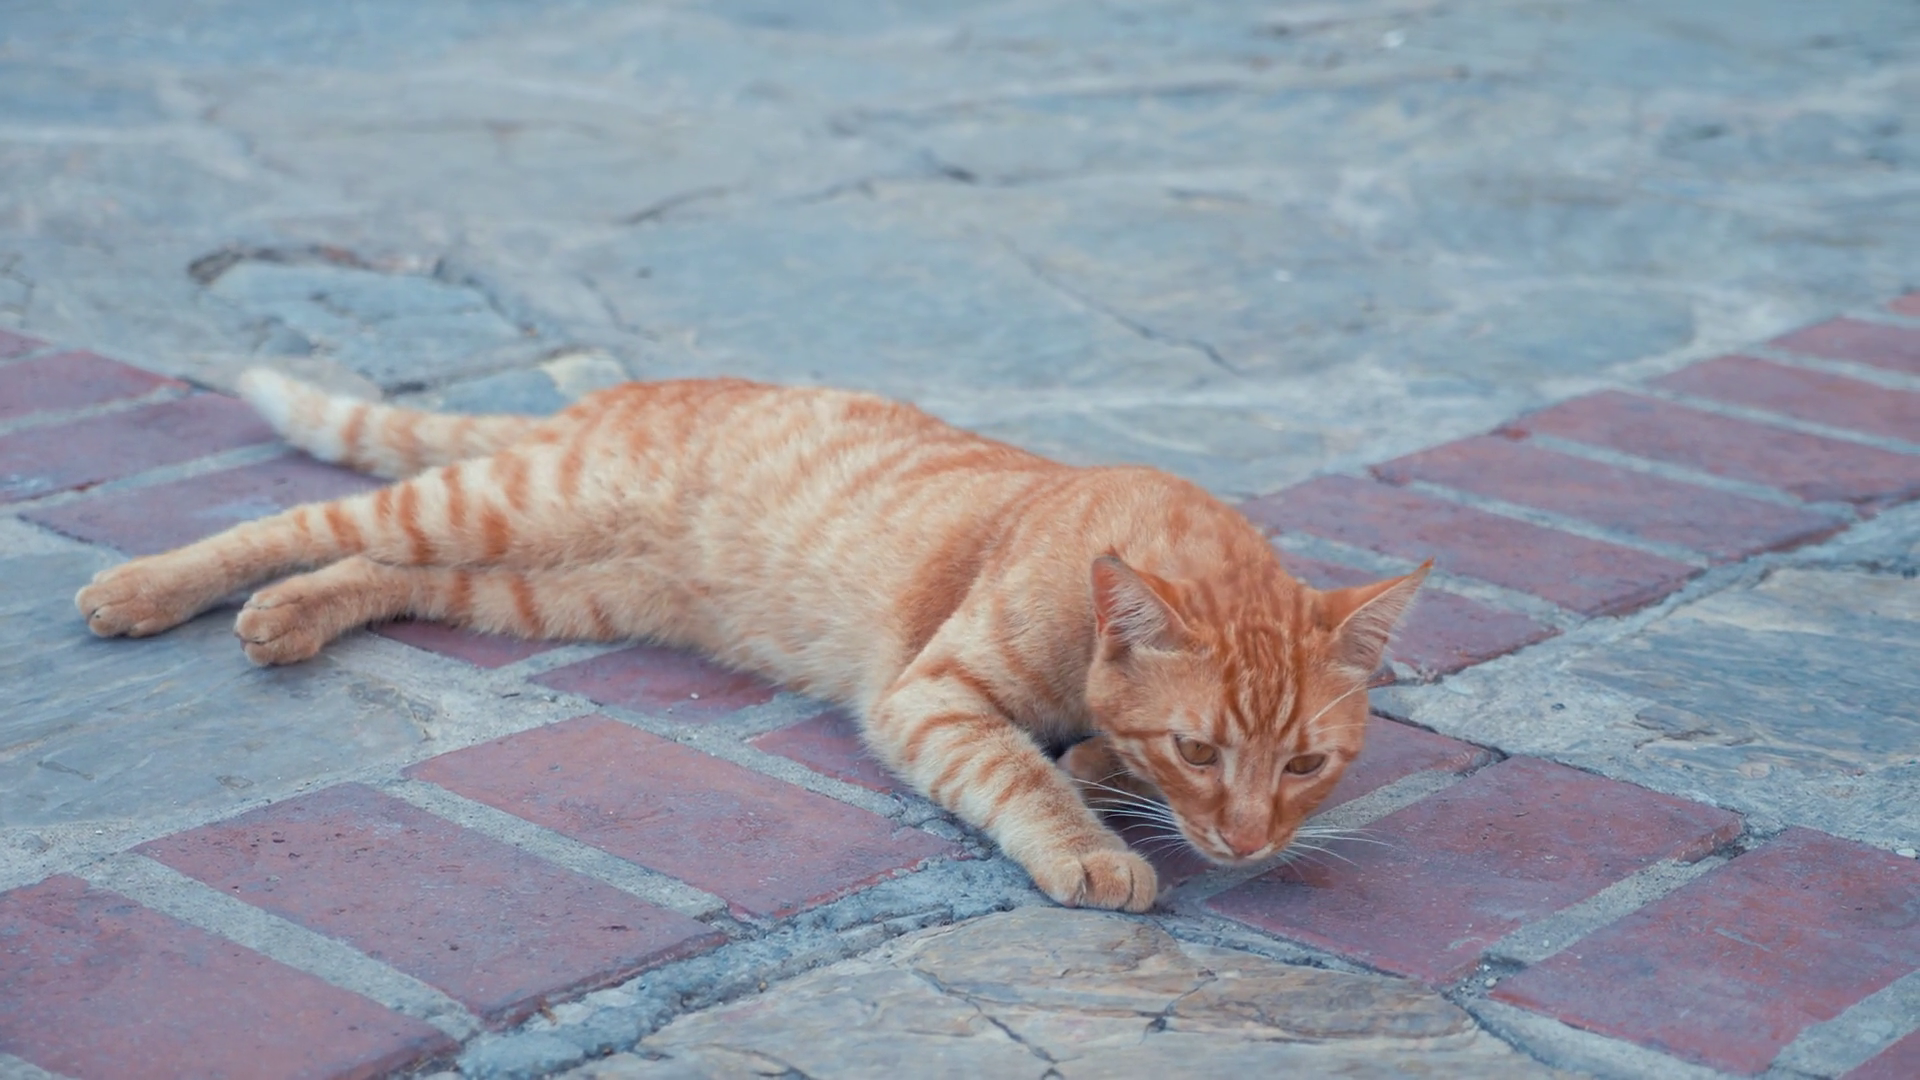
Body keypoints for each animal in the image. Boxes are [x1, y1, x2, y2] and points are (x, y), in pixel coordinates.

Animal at [75, 370, 1427, 912]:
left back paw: (286, 618)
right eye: (1201, 751)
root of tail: (603, 397)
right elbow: (1023, 776)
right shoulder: (931, 694)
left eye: (1306, 767)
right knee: (303, 521)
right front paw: (1095, 844)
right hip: (502, 506)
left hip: (543, 589)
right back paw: (146, 587)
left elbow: (1078, 754)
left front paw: (1100, 772)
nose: (1247, 844)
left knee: (371, 570)